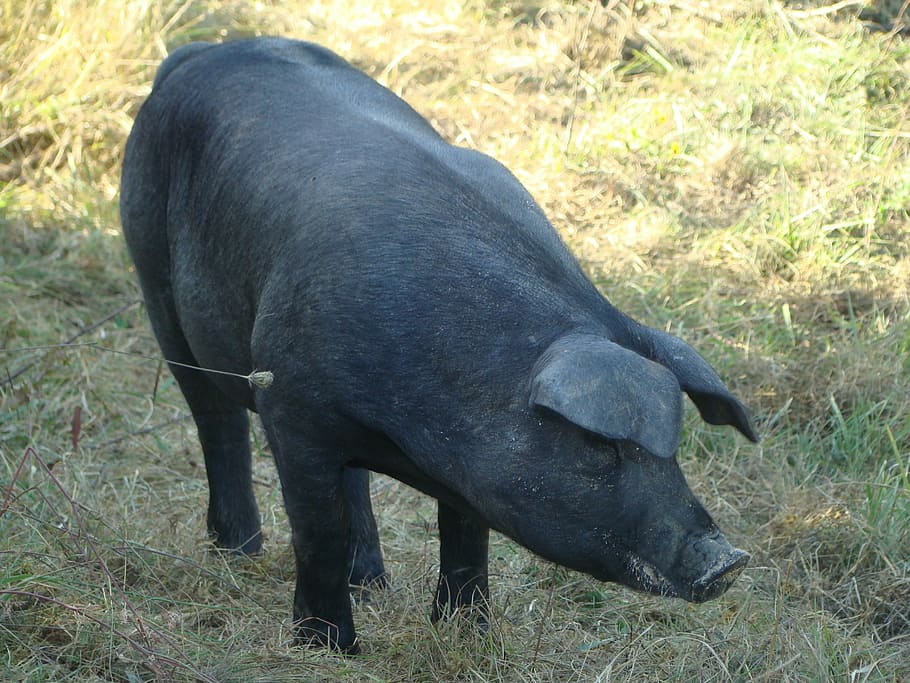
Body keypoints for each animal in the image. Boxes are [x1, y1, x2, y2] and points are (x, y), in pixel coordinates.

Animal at [123, 36, 764, 652]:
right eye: (599, 447)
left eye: (672, 450)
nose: (729, 560)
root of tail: (199, 54)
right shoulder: (291, 405)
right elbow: (318, 531)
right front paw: (329, 649)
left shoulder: (461, 467)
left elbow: (464, 531)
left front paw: (467, 634)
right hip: (154, 276)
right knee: (217, 420)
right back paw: (239, 552)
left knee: (349, 479)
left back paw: (373, 583)